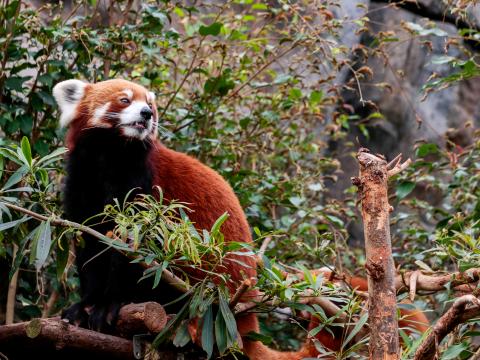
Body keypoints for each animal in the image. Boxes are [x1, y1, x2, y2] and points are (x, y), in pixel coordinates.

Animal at [52, 79, 428, 360]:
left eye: (150, 105)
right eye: (124, 99)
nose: (146, 113)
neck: (110, 157)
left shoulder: (144, 190)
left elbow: (134, 253)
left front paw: (110, 305)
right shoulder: (82, 186)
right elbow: (90, 246)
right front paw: (84, 306)